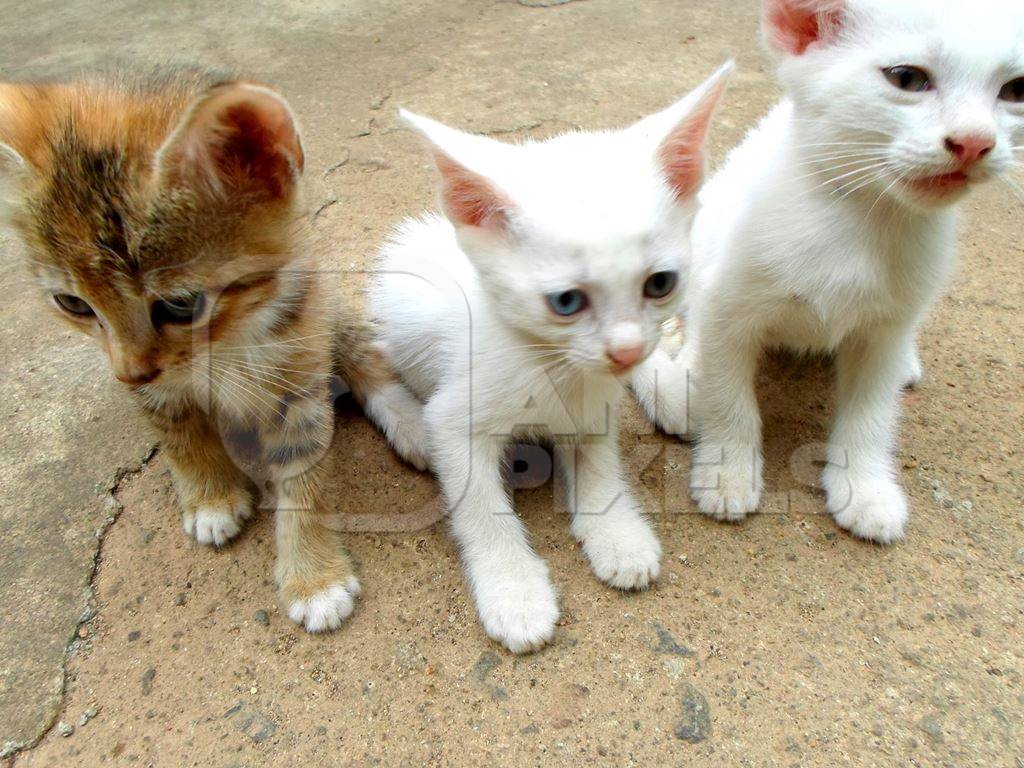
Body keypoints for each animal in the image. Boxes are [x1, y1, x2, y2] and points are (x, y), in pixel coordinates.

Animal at [0, 67, 423, 630]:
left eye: (181, 306)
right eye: (73, 303)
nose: (129, 373)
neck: (224, 344)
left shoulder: (297, 376)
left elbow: (303, 477)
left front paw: (314, 578)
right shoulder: (151, 386)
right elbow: (177, 432)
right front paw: (211, 497)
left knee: (363, 349)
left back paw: (413, 424)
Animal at [372, 66, 733, 655]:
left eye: (660, 283)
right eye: (566, 301)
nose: (625, 350)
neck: (550, 364)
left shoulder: (595, 401)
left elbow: (599, 459)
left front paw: (616, 530)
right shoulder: (454, 417)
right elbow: (480, 503)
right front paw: (514, 591)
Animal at [634, 0, 1019, 544]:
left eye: (1016, 90)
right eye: (907, 78)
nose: (975, 142)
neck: (857, 221)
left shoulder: (885, 329)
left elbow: (871, 411)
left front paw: (866, 486)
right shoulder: (728, 308)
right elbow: (729, 393)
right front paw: (727, 470)